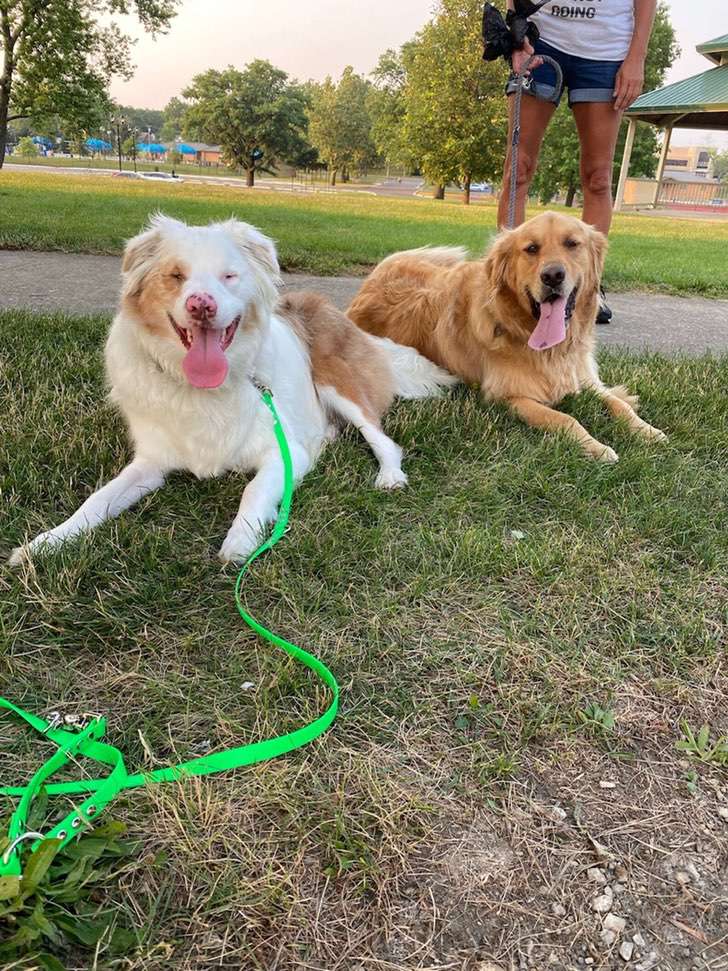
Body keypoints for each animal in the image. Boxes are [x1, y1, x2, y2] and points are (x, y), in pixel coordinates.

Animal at [9, 216, 456, 564]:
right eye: (175, 276)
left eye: (229, 275)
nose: (201, 305)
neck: (202, 389)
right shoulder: (150, 463)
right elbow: (96, 501)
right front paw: (45, 543)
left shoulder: (284, 453)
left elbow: (252, 489)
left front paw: (241, 541)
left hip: (339, 385)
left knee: (382, 439)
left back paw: (389, 475)